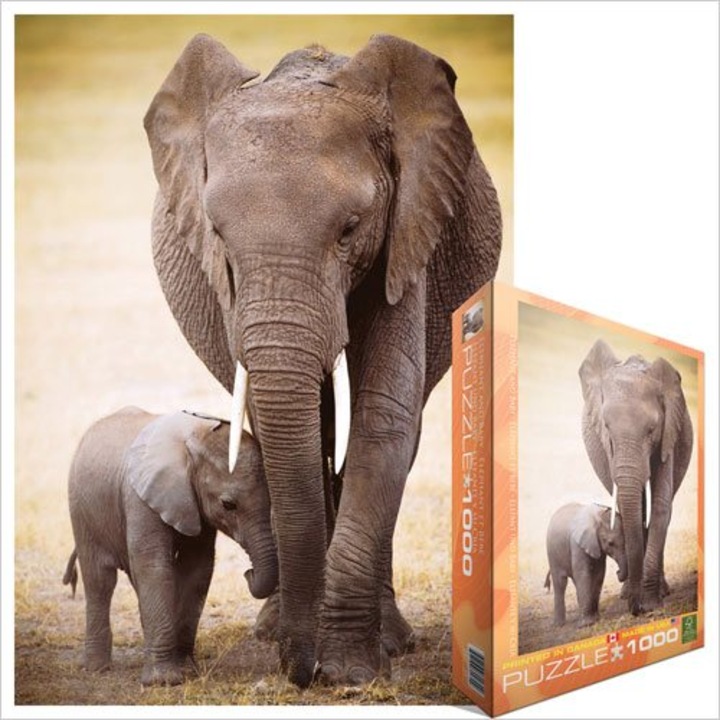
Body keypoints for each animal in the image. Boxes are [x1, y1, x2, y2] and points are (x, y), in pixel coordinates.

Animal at [64, 406, 277, 686]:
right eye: (228, 505)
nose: (248, 573)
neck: (194, 439)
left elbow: (197, 568)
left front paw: (185, 670)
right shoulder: (140, 497)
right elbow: (154, 566)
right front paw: (163, 681)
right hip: (82, 511)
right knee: (100, 579)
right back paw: (96, 668)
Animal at [144, 33, 501, 686]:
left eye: (351, 229)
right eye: (217, 234)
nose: (298, 670)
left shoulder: (407, 234)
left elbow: (383, 416)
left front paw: (351, 671)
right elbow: (285, 425)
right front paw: (311, 651)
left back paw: (390, 640)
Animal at [579, 339, 693, 616]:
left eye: (651, 430)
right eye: (607, 427)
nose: (636, 609)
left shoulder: (668, 435)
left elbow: (661, 505)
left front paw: (651, 603)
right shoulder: (608, 448)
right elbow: (631, 503)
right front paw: (636, 597)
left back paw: (660, 590)